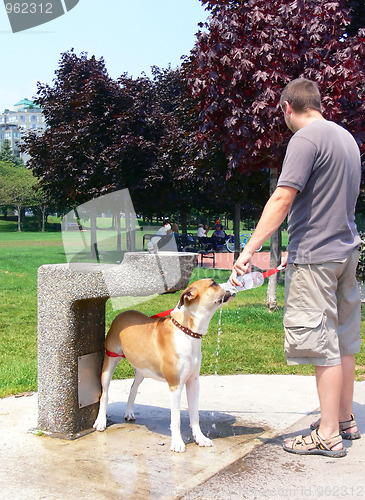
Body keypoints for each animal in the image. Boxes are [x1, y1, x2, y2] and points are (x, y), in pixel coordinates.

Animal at [91, 278, 233, 454]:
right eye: (213, 283)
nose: (232, 284)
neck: (187, 331)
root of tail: (123, 314)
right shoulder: (175, 385)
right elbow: (176, 418)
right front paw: (177, 443)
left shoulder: (193, 382)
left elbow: (195, 414)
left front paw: (200, 438)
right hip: (110, 361)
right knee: (104, 393)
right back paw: (101, 421)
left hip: (142, 369)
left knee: (133, 388)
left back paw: (129, 412)